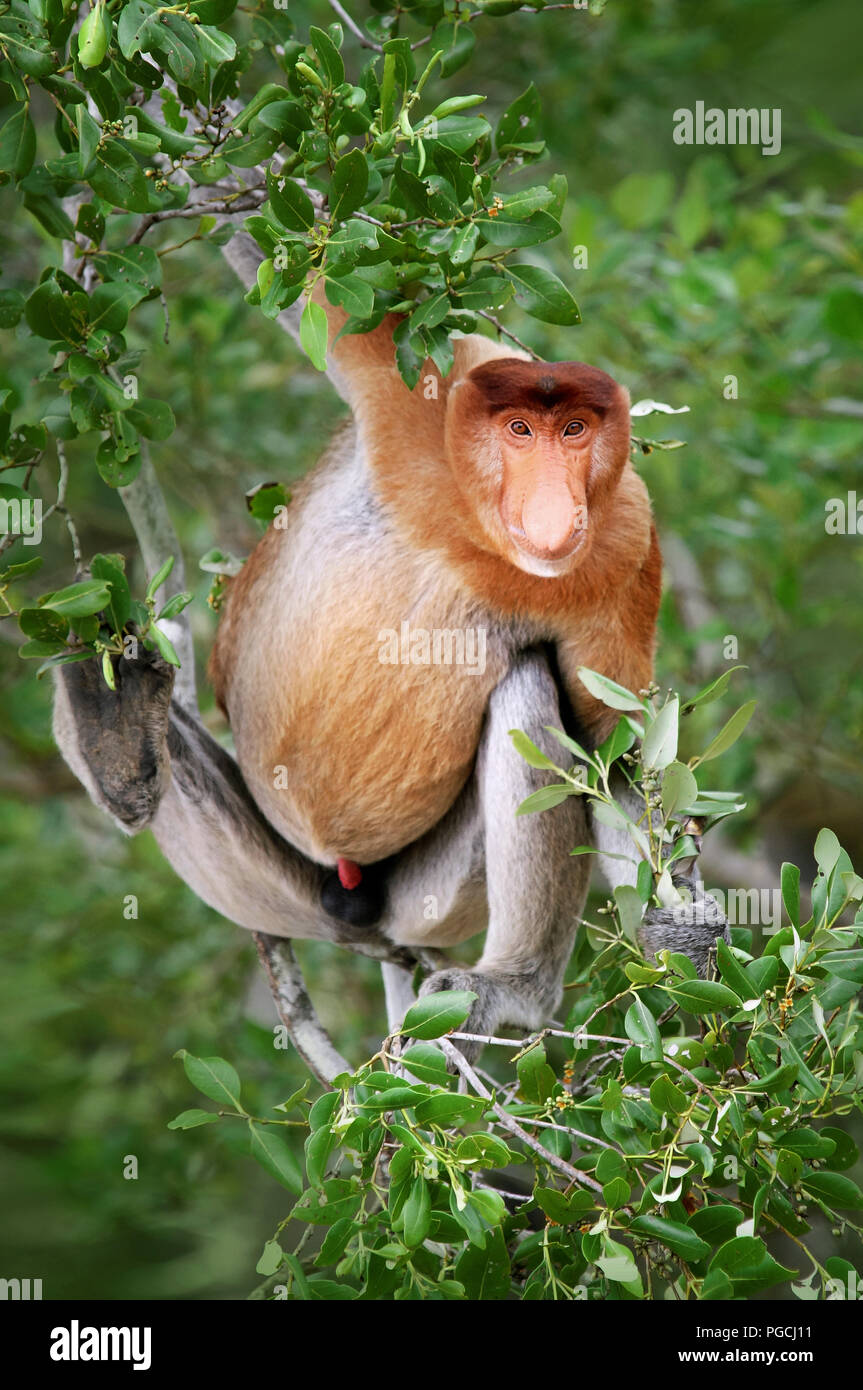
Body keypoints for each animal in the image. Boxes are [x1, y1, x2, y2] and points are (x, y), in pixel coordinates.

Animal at [52, 293, 730, 1060]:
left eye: (576, 431)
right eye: (520, 430)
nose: (554, 508)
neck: (476, 533)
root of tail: (352, 899)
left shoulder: (621, 546)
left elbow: (608, 754)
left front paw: (683, 930)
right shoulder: (435, 377)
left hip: (428, 902)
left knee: (527, 684)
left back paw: (513, 989)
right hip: (272, 881)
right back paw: (118, 735)